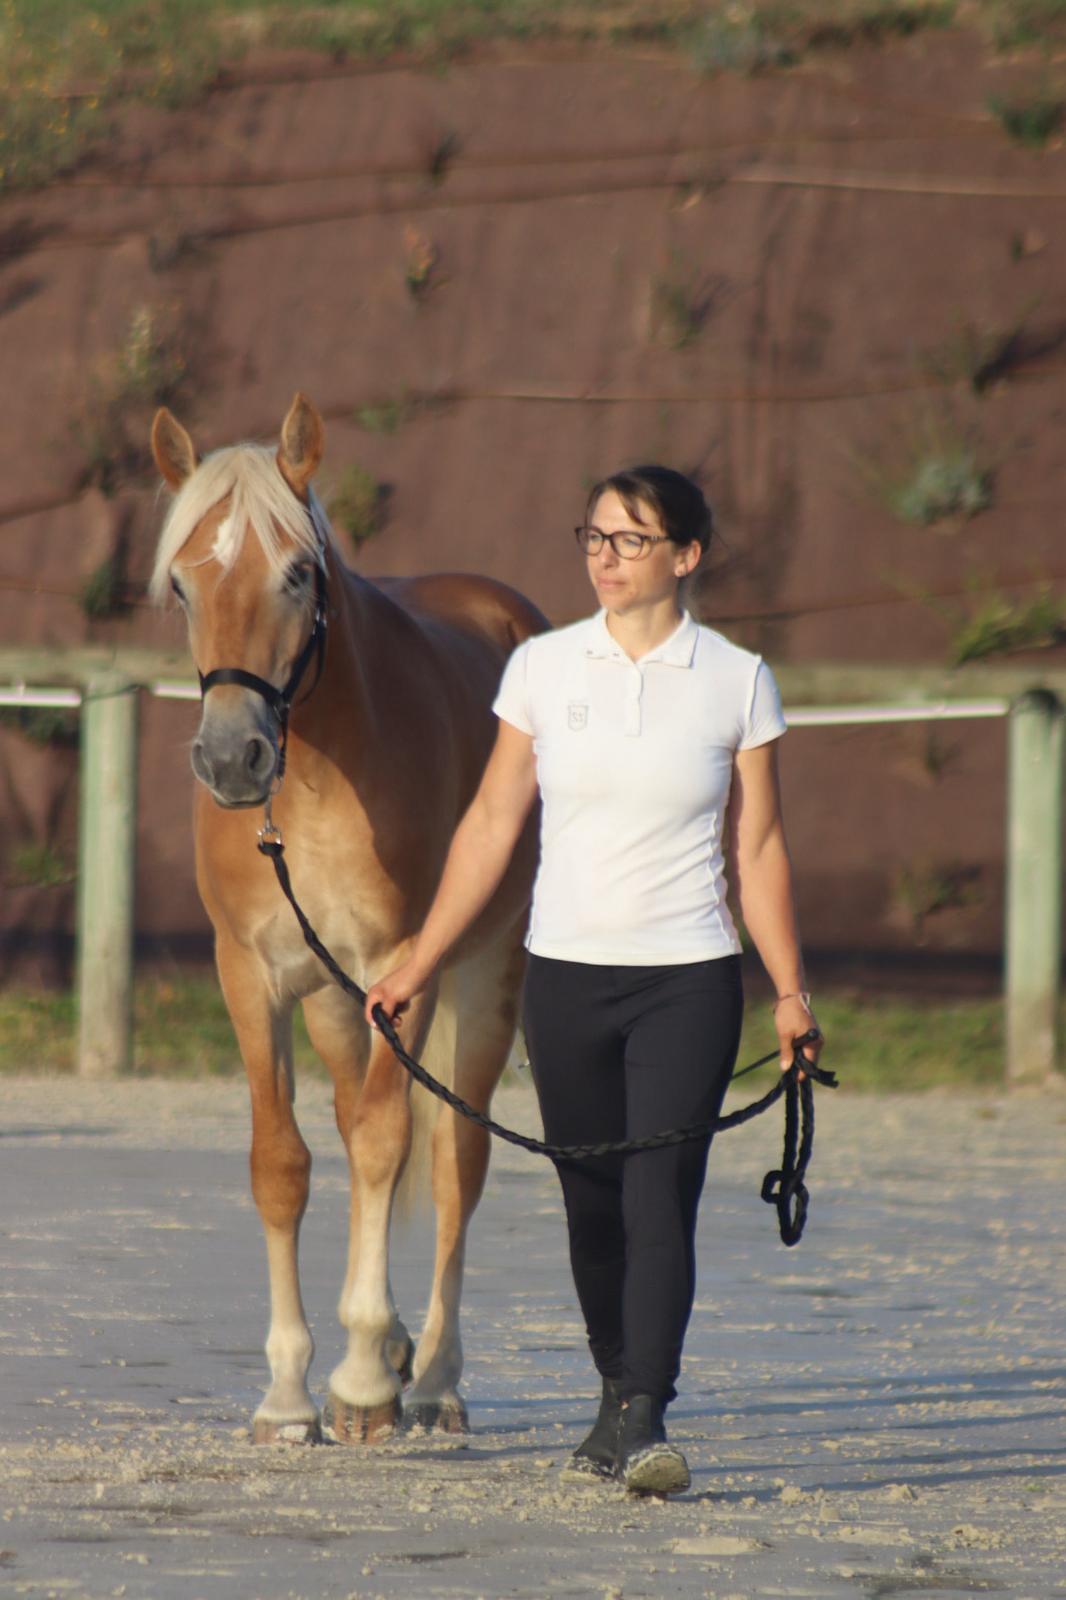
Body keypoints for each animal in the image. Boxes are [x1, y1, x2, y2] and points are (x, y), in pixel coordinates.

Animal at [149, 393, 547, 1443]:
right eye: (182, 585)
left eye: (296, 572)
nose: (232, 758)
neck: (317, 780)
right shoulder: (250, 974)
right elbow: (282, 1162)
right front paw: (289, 1396)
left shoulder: (407, 965)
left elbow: (384, 1144)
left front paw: (364, 1377)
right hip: (335, 1002)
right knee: (359, 1113)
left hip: (483, 975)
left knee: (454, 1157)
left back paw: (435, 1376)